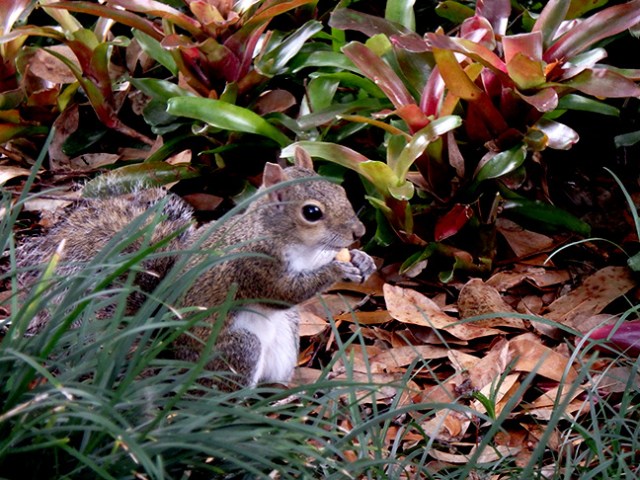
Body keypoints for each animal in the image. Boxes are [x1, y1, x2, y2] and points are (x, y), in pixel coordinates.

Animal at [17, 154, 376, 388]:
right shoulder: (253, 264)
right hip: (237, 347)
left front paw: (362, 260)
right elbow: (282, 292)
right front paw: (336, 270)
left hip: (286, 337)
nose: (359, 231)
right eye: (312, 212)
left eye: (342, 191)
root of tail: (171, 356)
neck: (297, 245)